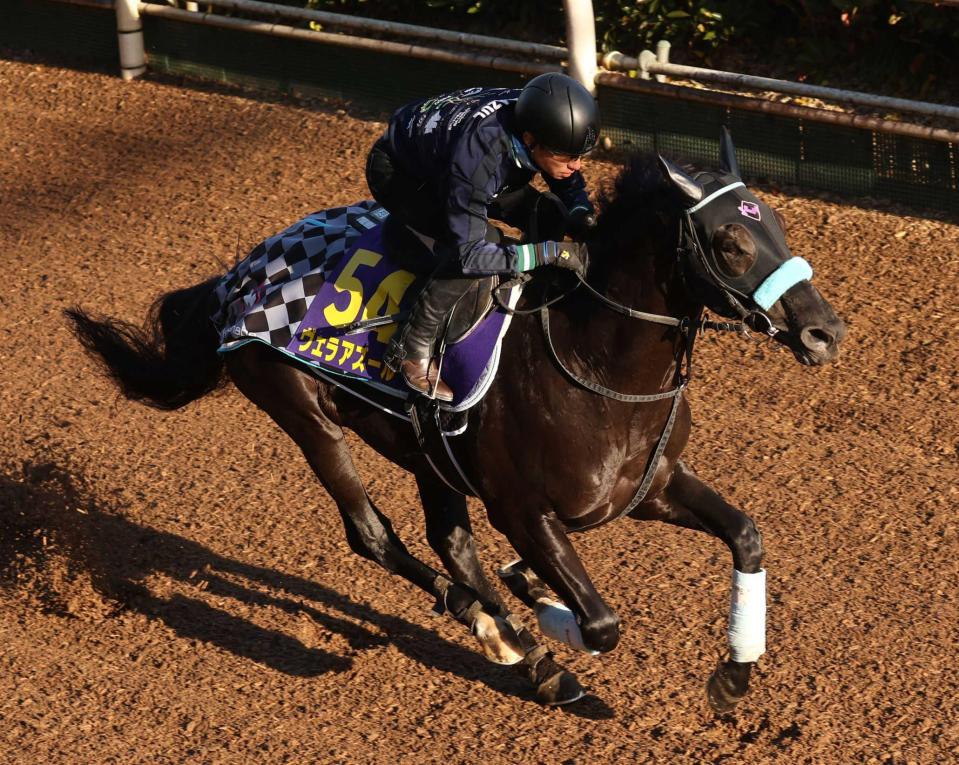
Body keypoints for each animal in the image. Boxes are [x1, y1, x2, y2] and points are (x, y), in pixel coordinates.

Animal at [67, 130, 848, 712]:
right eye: (732, 245)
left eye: (779, 226)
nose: (824, 331)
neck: (594, 362)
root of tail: (237, 278)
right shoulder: (523, 509)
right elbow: (600, 622)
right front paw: (534, 608)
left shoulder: (650, 484)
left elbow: (745, 534)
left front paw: (732, 677)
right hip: (301, 409)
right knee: (374, 535)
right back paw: (497, 629)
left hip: (426, 451)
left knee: (449, 540)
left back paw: (516, 636)